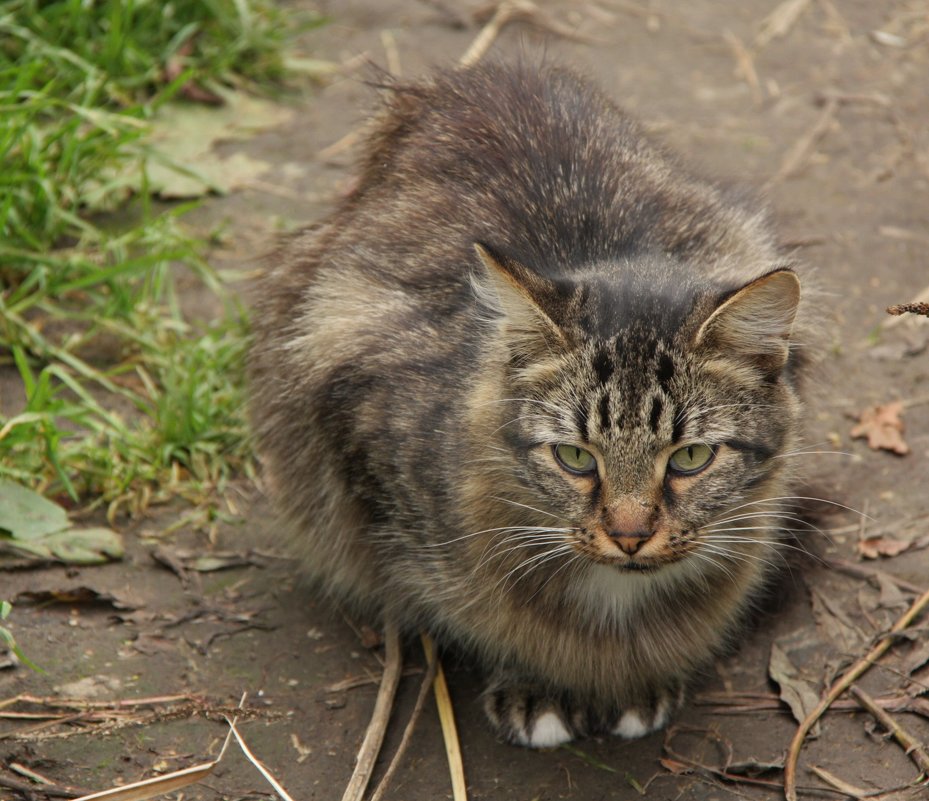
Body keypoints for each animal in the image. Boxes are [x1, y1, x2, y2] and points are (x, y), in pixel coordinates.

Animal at [250, 59, 808, 748]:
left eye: (689, 458)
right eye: (575, 457)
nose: (628, 537)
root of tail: (473, 75)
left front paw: (639, 682)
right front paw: (539, 685)